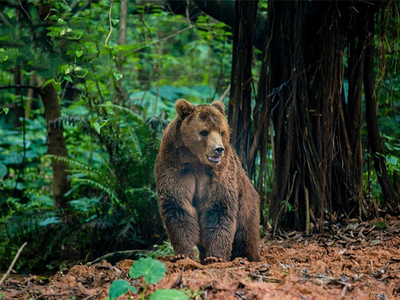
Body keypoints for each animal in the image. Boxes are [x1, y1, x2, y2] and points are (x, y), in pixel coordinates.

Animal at [155, 99, 260, 264]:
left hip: (246, 204)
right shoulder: (174, 167)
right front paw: (182, 254)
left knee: (245, 234)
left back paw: (247, 256)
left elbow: (218, 208)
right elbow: (178, 207)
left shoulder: (220, 174)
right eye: (204, 132)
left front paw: (215, 257)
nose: (219, 149)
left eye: (222, 132)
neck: (196, 160)